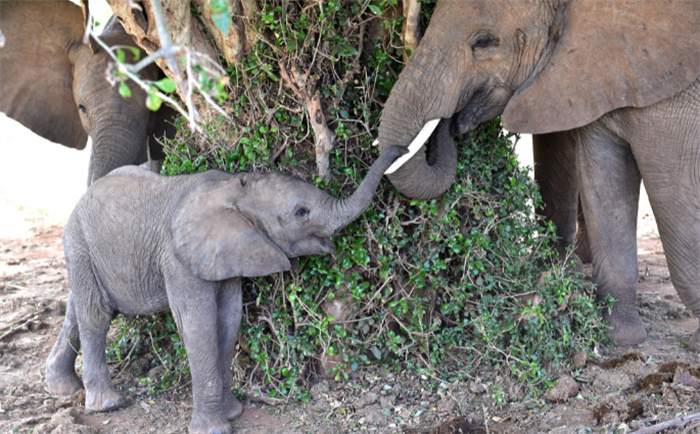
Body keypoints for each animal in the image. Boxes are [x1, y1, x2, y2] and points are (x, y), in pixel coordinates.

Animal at [46, 147, 402, 434]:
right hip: (80, 241)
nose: (401, 148)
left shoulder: (229, 253)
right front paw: (215, 429)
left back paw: (63, 388)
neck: (234, 187)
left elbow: (228, 319)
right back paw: (108, 404)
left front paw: (234, 412)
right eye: (301, 213)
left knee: (77, 308)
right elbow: (199, 324)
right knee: (96, 313)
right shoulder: (178, 259)